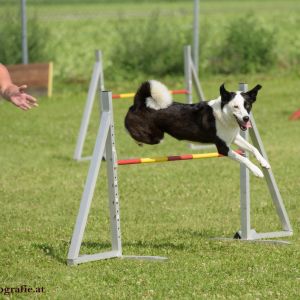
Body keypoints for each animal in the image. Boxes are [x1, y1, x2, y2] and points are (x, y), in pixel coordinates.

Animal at [125, 80, 270, 178]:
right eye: (235, 106)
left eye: (247, 105)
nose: (246, 118)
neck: (224, 115)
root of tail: (138, 104)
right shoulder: (223, 148)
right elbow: (243, 158)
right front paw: (257, 171)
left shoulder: (234, 138)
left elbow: (254, 148)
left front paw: (264, 163)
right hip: (157, 137)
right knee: (131, 131)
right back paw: (137, 141)